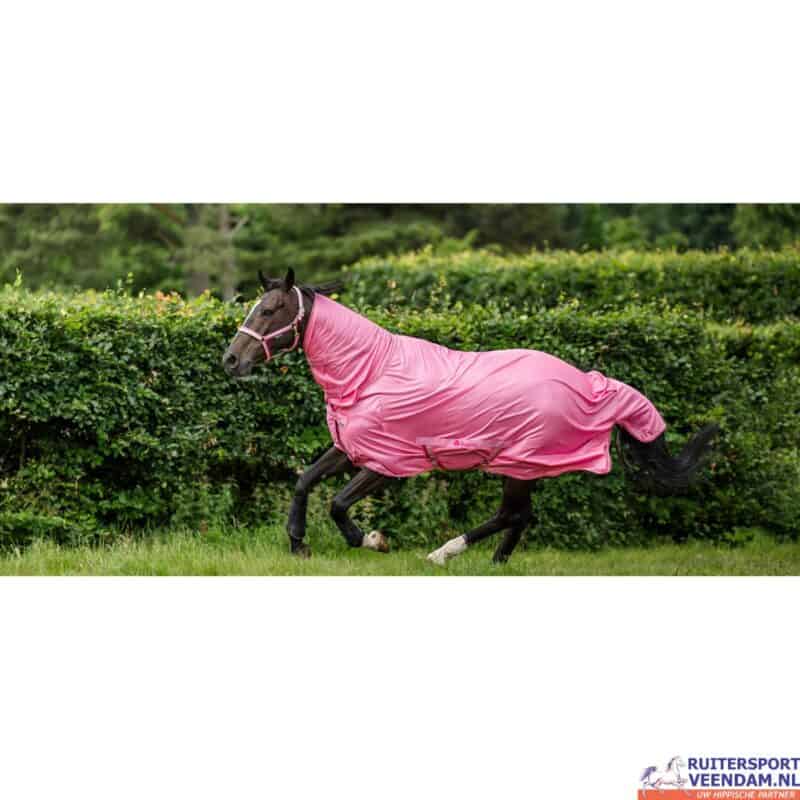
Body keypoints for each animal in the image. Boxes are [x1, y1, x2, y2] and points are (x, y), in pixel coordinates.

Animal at [222, 268, 719, 565]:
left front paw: (371, 540)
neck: (371, 372)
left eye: (270, 310)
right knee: (520, 517)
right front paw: (298, 543)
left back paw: (445, 553)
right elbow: (305, 481)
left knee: (511, 515)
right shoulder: (351, 448)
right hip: (522, 466)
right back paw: (493, 563)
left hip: (519, 463)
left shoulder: (389, 464)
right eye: (254, 307)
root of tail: (589, 382)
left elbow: (338, 504)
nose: (230, 360)